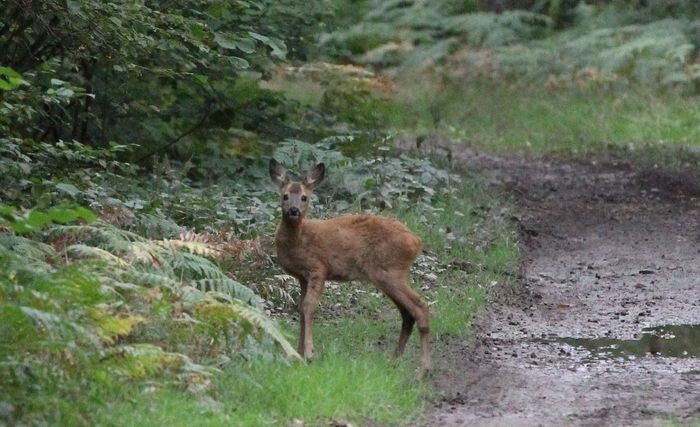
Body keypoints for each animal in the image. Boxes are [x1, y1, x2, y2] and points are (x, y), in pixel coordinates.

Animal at [270, 160, 430, 374]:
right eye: (285, 196)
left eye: (304, 197)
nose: (294, 210)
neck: (299, 239)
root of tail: (416, 241)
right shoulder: (302, 277)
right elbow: (301, 309)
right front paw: (298, 352)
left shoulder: (318, 268)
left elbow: (309, 306)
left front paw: (310, 353)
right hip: (390, 275)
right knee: (407, 313)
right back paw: (394, 361)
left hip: (390, 271)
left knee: (420, 307)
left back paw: (423, 369)